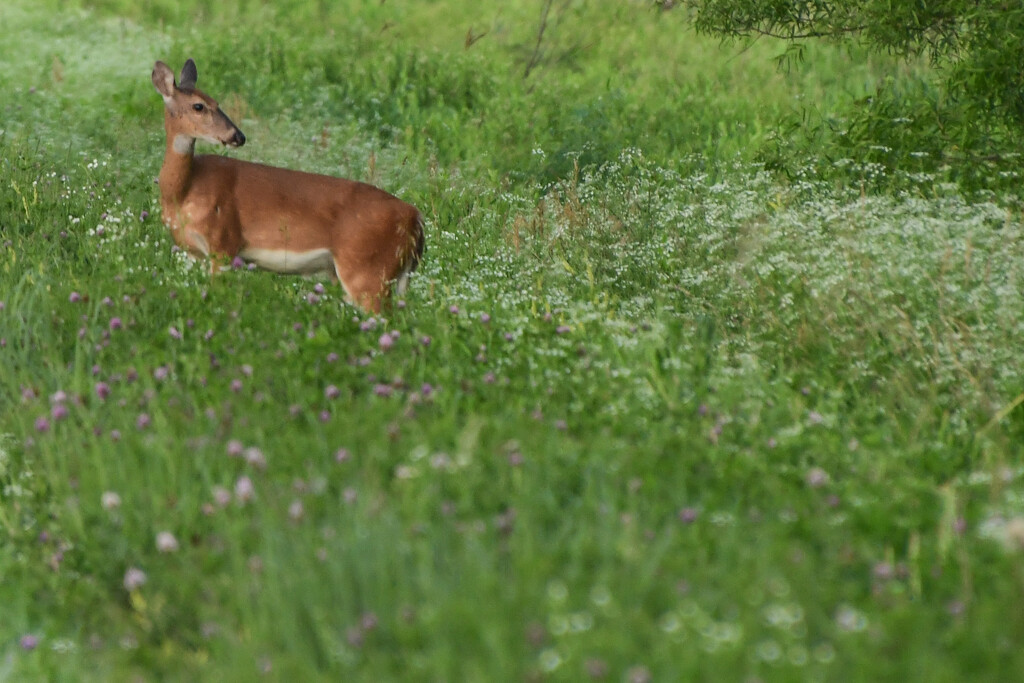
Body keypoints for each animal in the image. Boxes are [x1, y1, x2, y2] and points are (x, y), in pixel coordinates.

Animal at [150, 58, 423, 313]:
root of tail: (414, 218)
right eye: (199, 105)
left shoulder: (224, 242)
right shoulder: (190, 250)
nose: (238, 136)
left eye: (216, 103)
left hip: (368, 270)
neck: (183, 191)